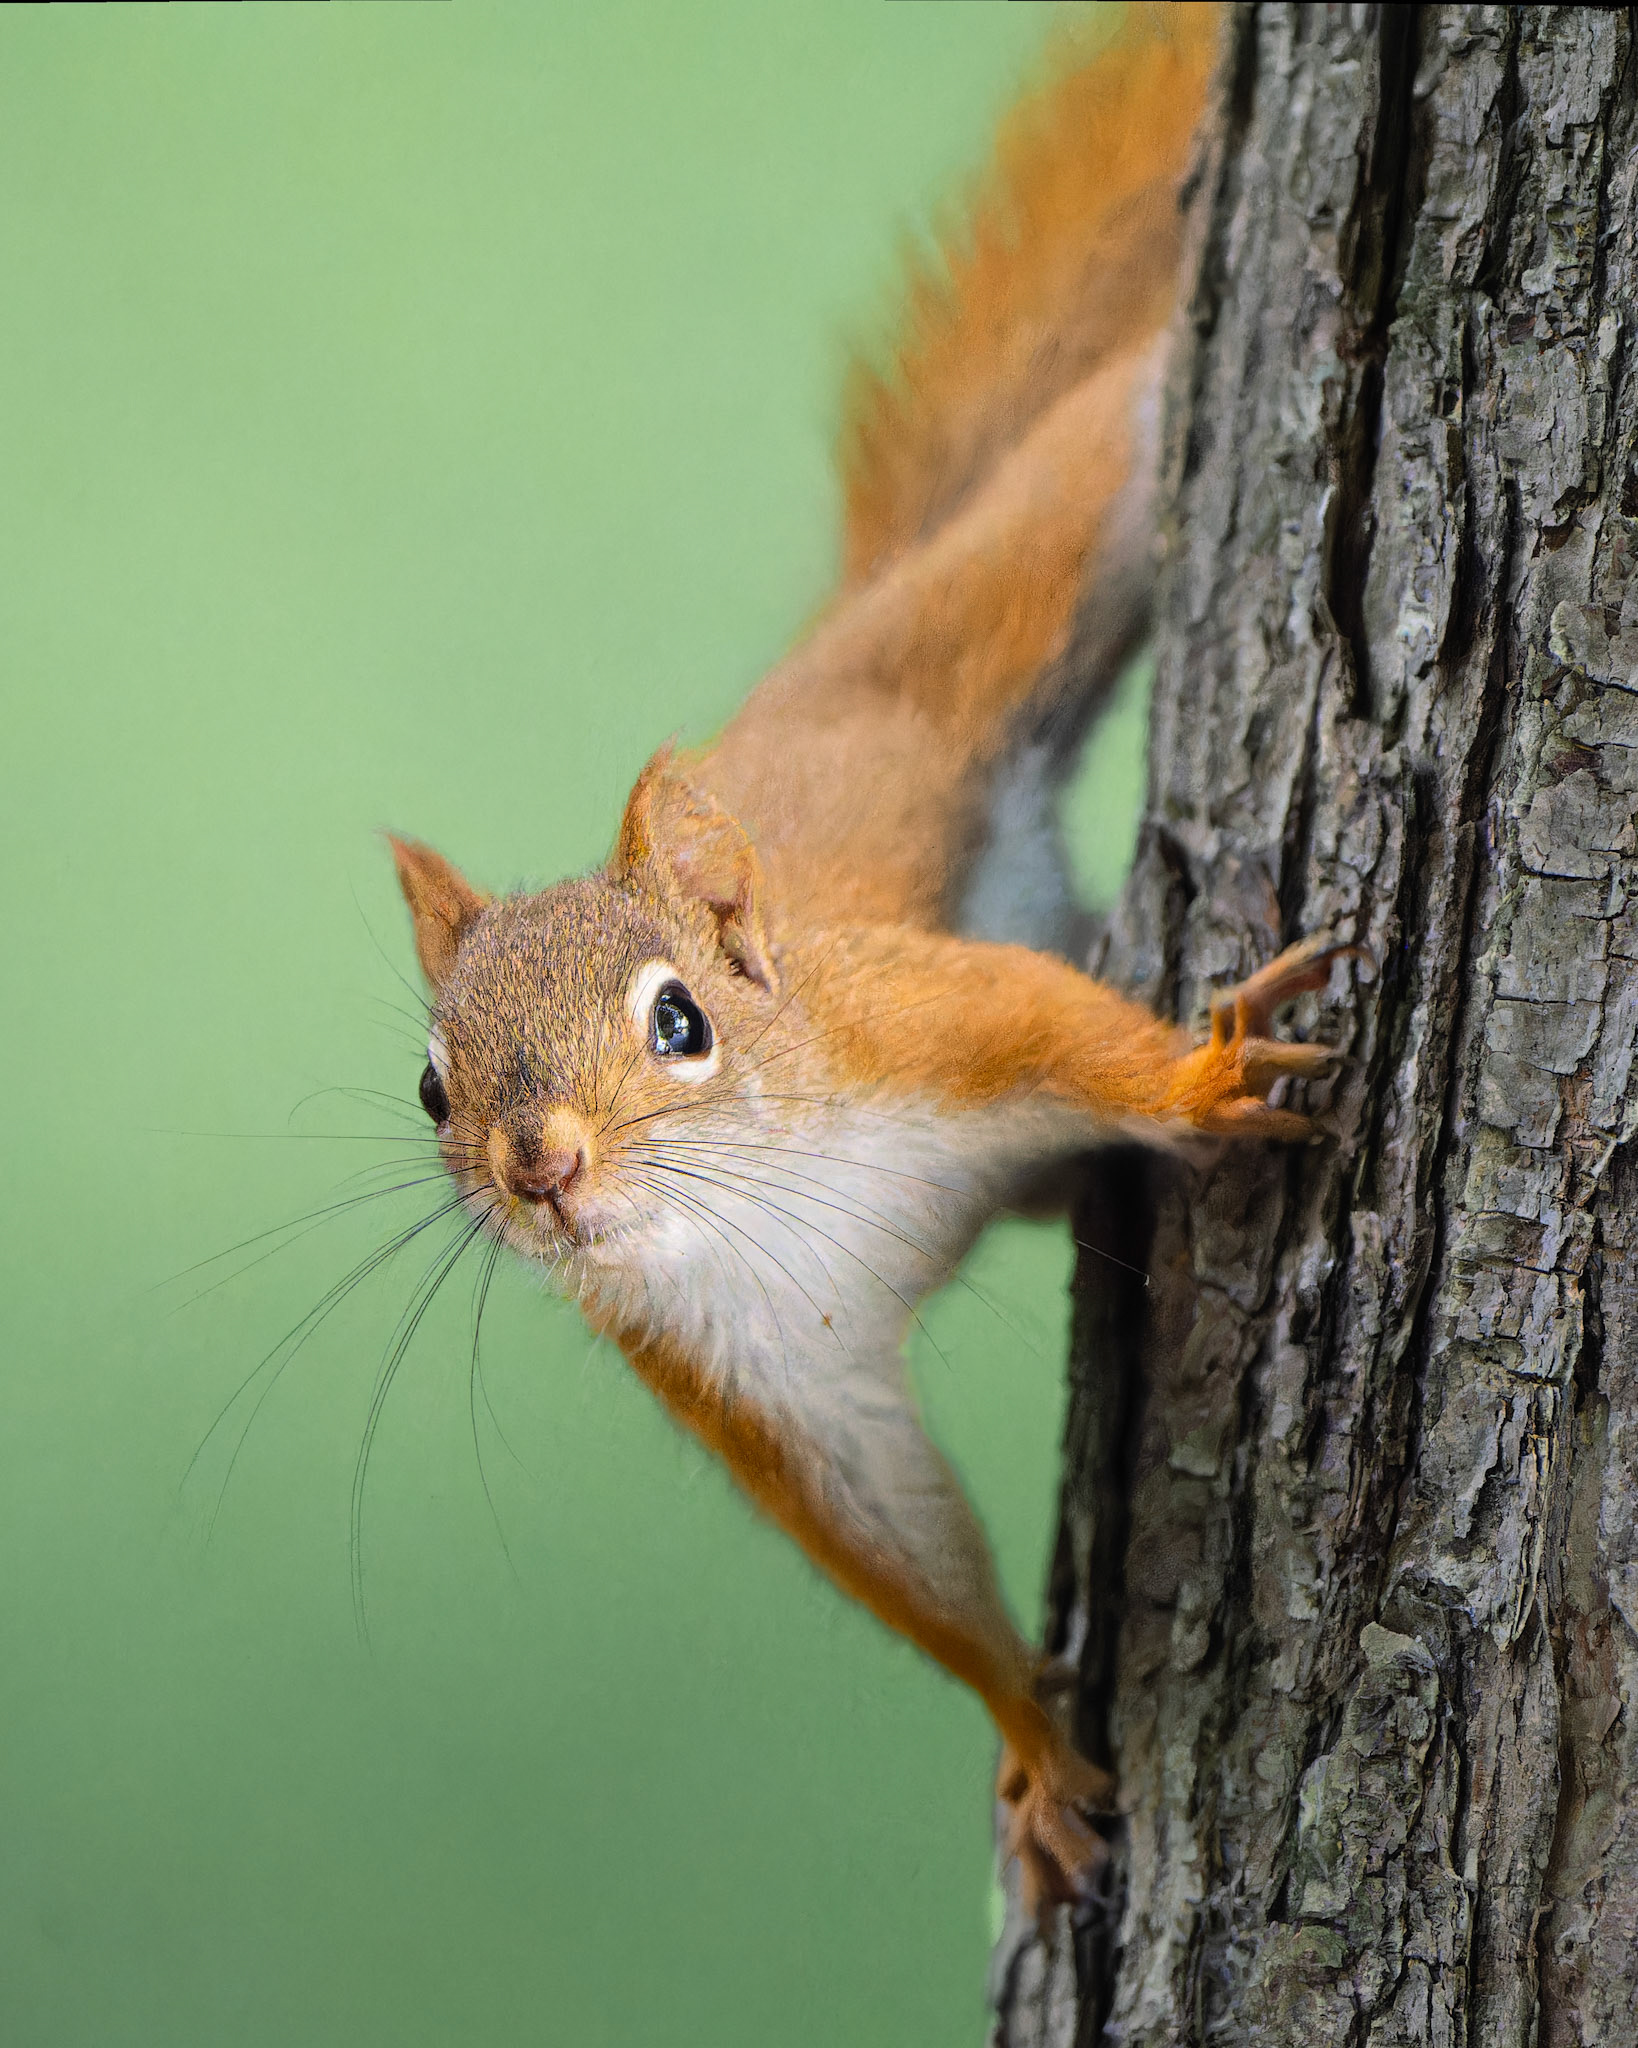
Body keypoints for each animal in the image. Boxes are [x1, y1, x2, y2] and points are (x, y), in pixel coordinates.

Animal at [386, 2, 1356, 1913]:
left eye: (681, 1020)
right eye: (429, 1090)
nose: (542, 1171)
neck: (761, 1188)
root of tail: (827, 639)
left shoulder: (912, 1018)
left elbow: (1064, 1031)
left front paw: (1202, 1069)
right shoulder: (757, 1385)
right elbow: (899, 1544)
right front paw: (1028, 1734)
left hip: (1006, 584)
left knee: (1093, 438)